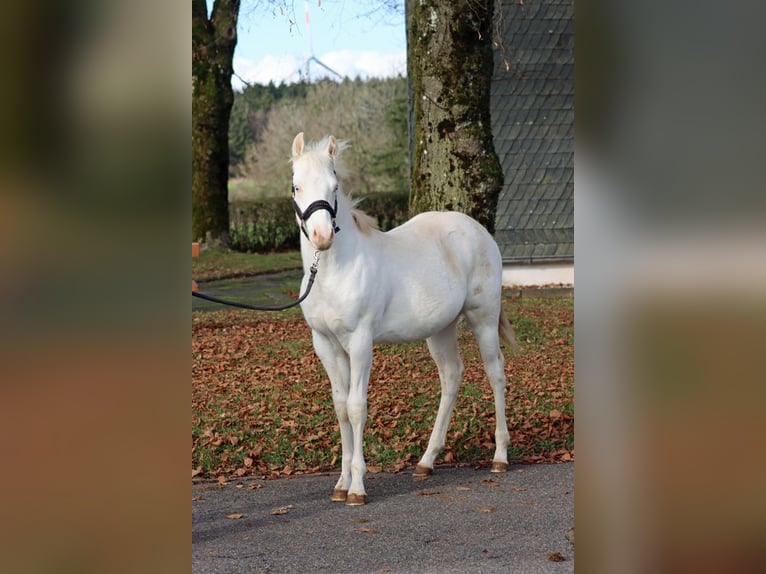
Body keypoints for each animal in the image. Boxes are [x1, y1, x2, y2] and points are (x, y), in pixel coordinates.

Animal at [290, 132, 519, 506]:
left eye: (334, 185)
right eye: (296, 186)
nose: (323, 237)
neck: (334, 273)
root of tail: (478, 230)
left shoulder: (360, 343)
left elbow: (356, 407)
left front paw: (357, 488)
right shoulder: (326, 345)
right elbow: (340, 407)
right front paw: (340, 483)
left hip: (483, 318)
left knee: (495, 373)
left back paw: (500, 456)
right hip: (439, 330)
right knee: (451, 376)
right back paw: (426, 461)